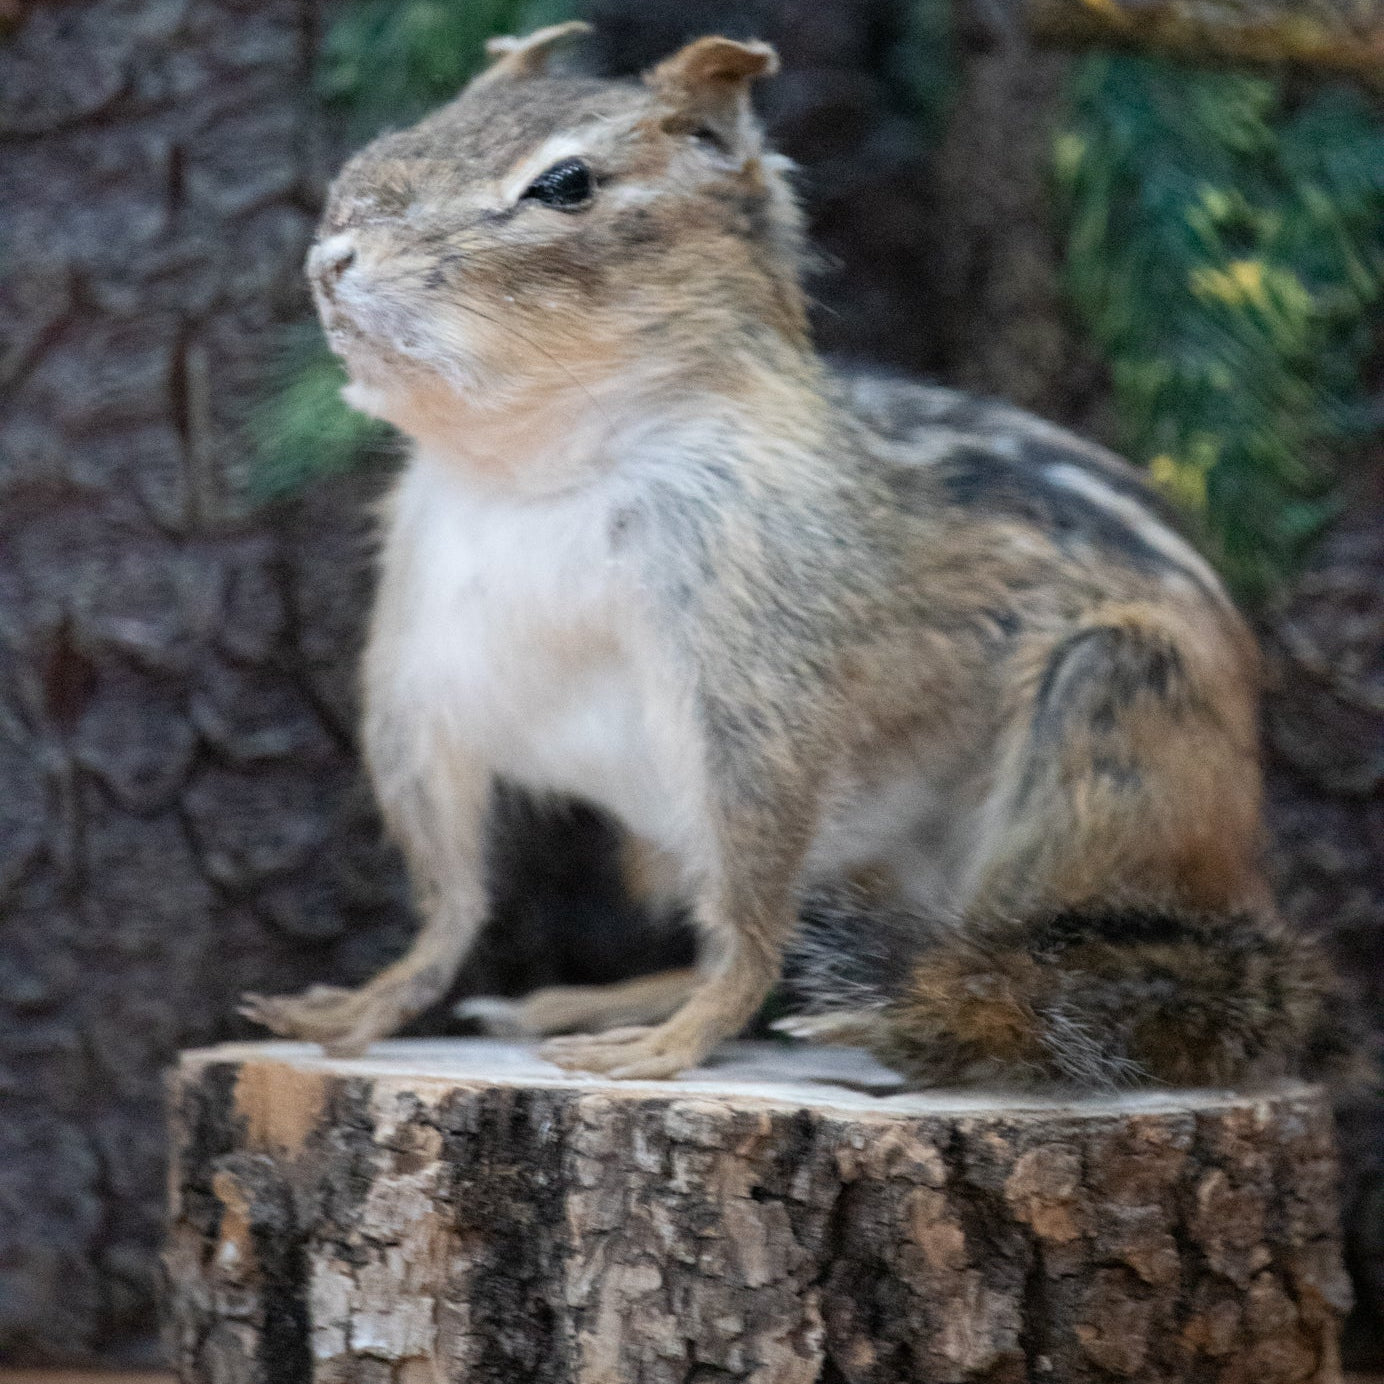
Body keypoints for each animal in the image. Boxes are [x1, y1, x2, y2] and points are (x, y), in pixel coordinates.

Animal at [242, 22, 1349, 1088]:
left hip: (1109, 728)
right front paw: (370, 1003)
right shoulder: (423, 670)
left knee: (1036, 967)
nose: (331, 258)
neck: (540, 472)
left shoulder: (756, 679)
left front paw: (681, 1042)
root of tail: (1238, 867)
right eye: (396, 137)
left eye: (566, 184)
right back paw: (596, 1000)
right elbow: (451, 898)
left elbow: (755, 893)